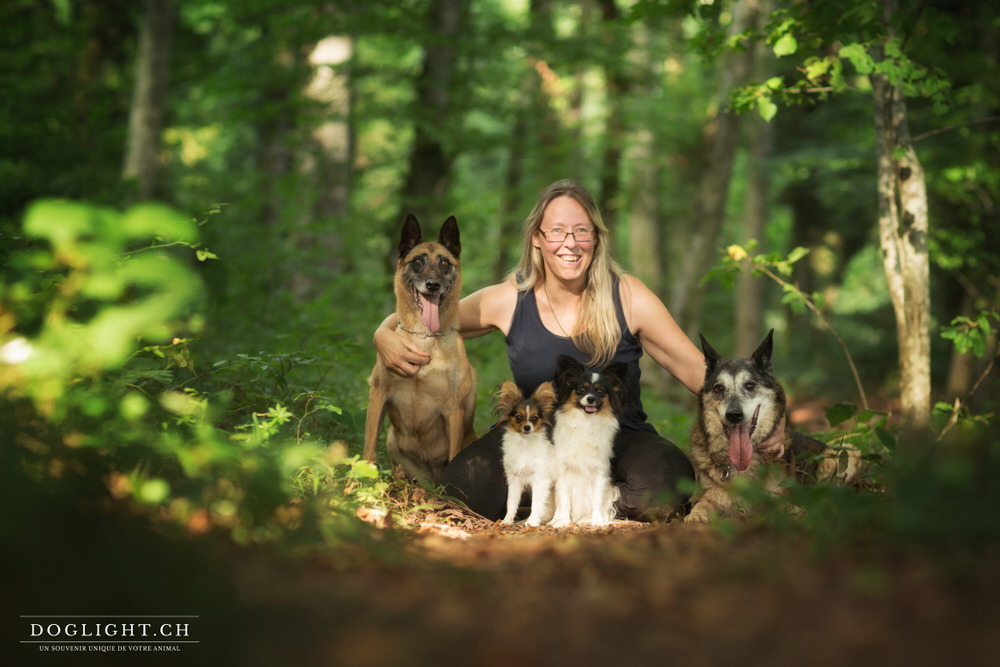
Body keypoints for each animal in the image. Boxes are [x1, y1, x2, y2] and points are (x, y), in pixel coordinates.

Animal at [496, 380, 560, 528]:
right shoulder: (514, 480)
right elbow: (511, 503)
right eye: (518, 417)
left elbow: (536, 505)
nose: (527, 427)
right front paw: (507, 520)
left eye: (535, 418)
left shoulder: (540, 481)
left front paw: (532, 522)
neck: (523, 444)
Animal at [548, 354, 624, 528]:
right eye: (581, 389)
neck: (585, 421)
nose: (590, 399)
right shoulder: (563, 472)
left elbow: (597, 500)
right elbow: (564, 500)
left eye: (600, 391)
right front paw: (562, 521)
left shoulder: (600, 473)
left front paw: (597, 522)